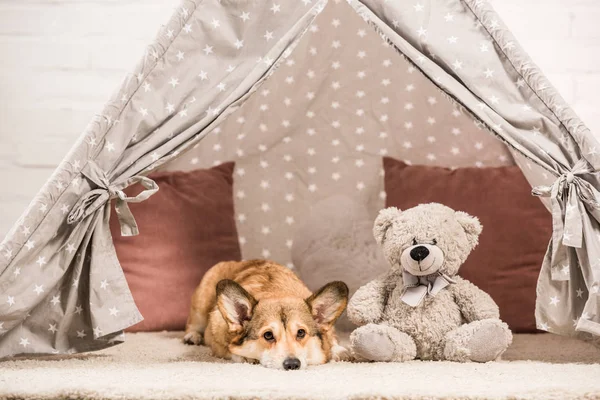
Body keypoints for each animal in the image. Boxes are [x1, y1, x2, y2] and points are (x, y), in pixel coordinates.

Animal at [185, 260, 350, 368]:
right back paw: (192, 336)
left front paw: (340, 351)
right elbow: (230, 350)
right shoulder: (217, 341)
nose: (292, 365)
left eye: (301, 333)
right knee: (193, 324)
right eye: (268, 335)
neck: (276, 293)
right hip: (200, 307)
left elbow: (332, 341)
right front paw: (244, 356)